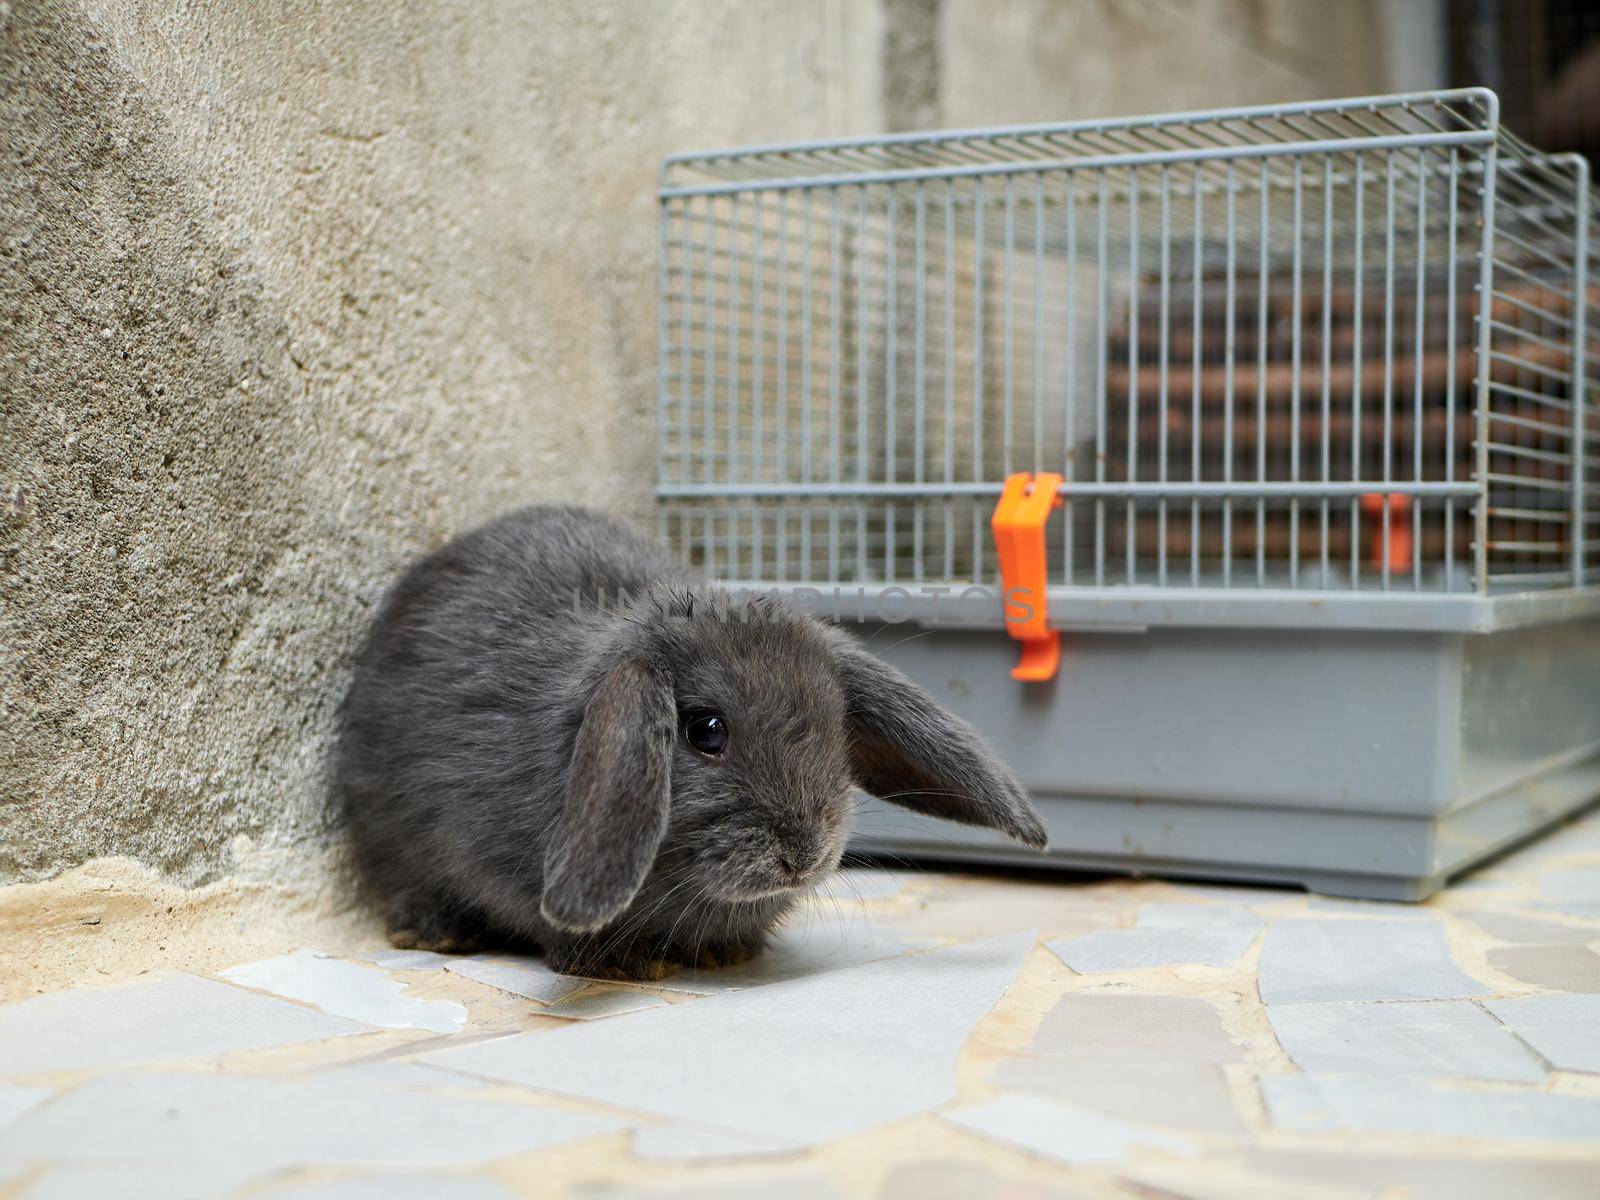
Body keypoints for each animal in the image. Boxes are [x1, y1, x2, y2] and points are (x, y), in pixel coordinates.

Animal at [331, 502, 1043, 979]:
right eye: (706, 732)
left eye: (836, 731)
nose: (805, 855)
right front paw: (619, 966)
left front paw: (727, 952)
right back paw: (439, 934)